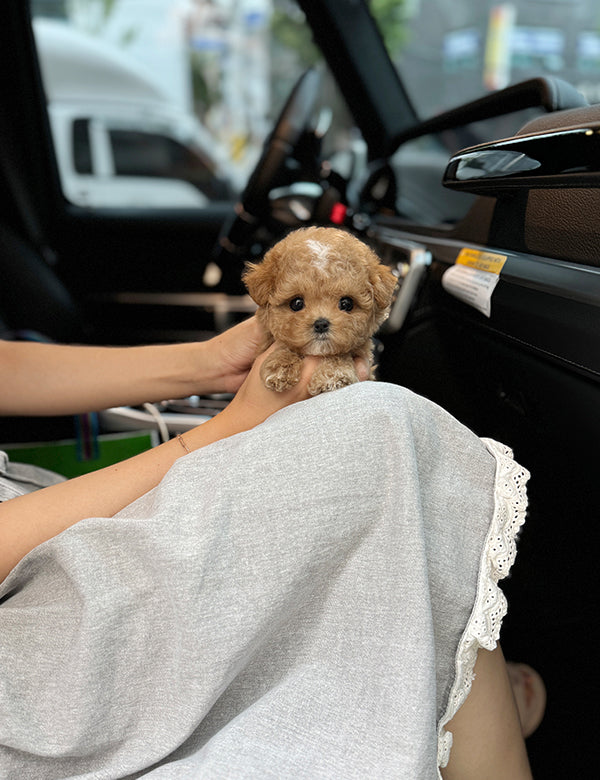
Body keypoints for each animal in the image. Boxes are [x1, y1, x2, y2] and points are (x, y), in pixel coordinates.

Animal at [241, 225, 396, 396]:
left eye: (347, 303)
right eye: (296, 303)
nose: (321, 324)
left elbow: (341, 354)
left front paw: (333, 375)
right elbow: (284, 345)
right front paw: (280, 366)